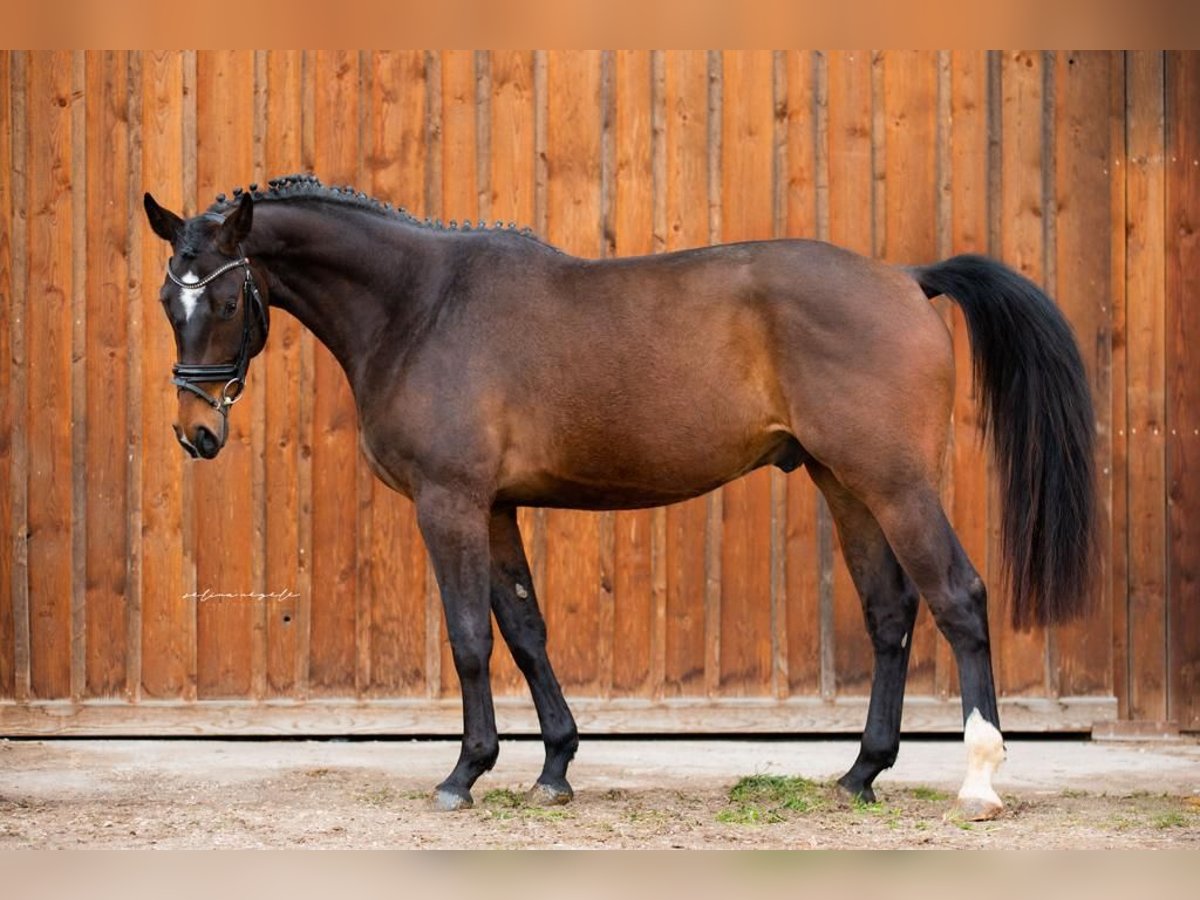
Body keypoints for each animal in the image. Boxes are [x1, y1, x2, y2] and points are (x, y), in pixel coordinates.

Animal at [142, 176, 1099, 825]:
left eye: (222, 298)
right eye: (165, 298)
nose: (195, 432)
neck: (423, 305)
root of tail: (906, 277)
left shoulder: (449, 503)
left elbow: (469, 638)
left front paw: (464, 773)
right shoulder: (496, 508)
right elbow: (524, 630)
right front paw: (555, 768)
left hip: (896, 483)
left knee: (959, 597)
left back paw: (979, 781)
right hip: (844, 481)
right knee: (891, 611)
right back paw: (861, 774)